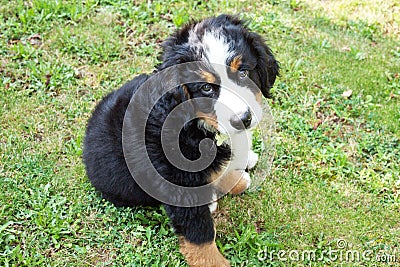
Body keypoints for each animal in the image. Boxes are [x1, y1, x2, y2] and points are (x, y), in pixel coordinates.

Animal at [83, 14, 280, 267]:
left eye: (244, 73)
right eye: (206, 88)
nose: (243, 120)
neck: (195, 124)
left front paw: (235, 179)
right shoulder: (179, 186)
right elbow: (200, 236)